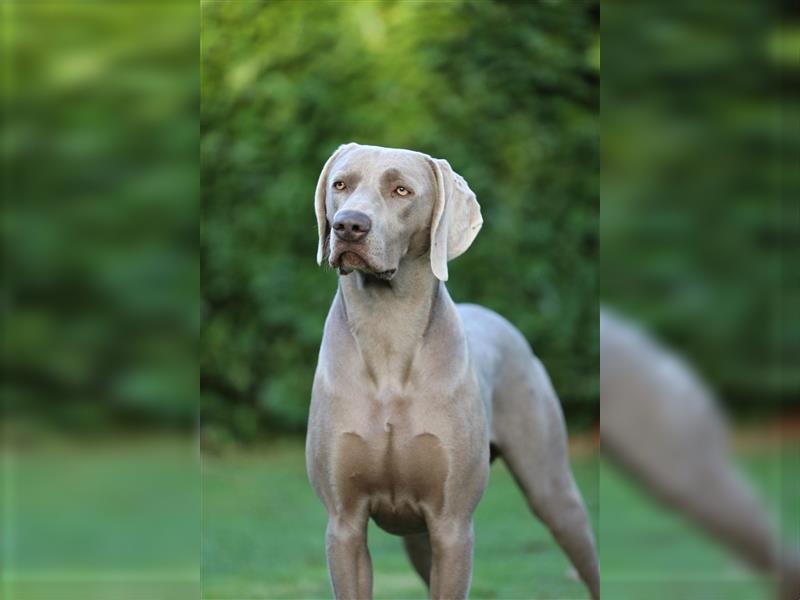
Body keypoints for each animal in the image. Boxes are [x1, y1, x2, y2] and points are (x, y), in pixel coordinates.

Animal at [306, 143, 600, 596]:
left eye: (402, 190)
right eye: (340, 184)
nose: (348, 225)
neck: (388, 333)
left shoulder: (452, 523)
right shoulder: (344, 523)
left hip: (552, 488)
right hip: (415, 535)